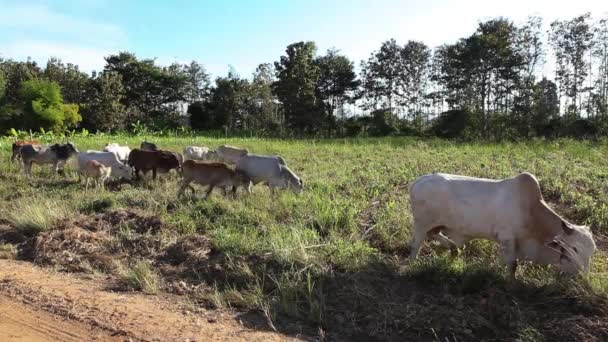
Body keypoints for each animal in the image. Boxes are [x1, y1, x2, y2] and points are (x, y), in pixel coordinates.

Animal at [408, 172, 600, 280]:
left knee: (434, 235)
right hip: (421, 224)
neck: (531, 212)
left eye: (592, 251)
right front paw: (510, 283)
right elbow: (512, 264)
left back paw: (454, 248)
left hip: (436, 224)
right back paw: (412, 264)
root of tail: (417, 181)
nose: (583, 276)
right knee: (416, 244)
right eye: (574, 249)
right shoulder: (508, 238)